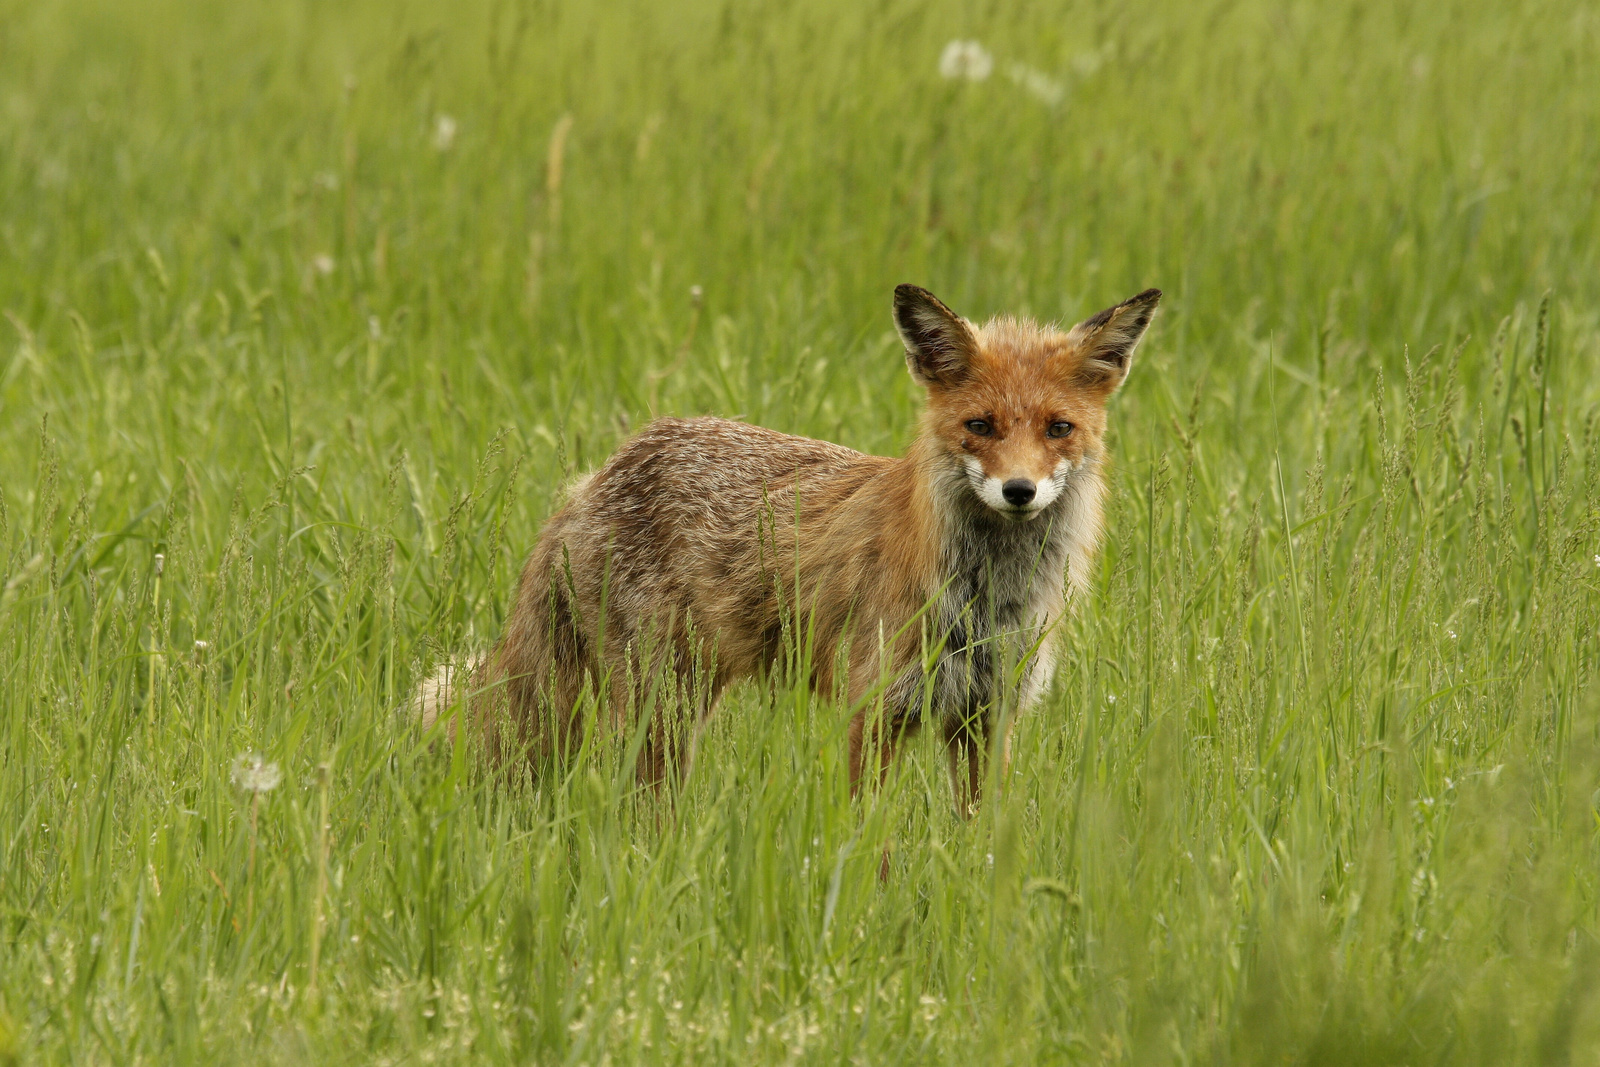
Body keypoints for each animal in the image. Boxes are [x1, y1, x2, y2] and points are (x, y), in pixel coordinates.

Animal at [419, 279, 1158, 812]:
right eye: (981, 425)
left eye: (1058, 428)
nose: (1019, 490)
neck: (987, 599)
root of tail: (599, 474)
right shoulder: (875, 709)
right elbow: (868, 843)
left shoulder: (986, 717)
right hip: (661, 707)